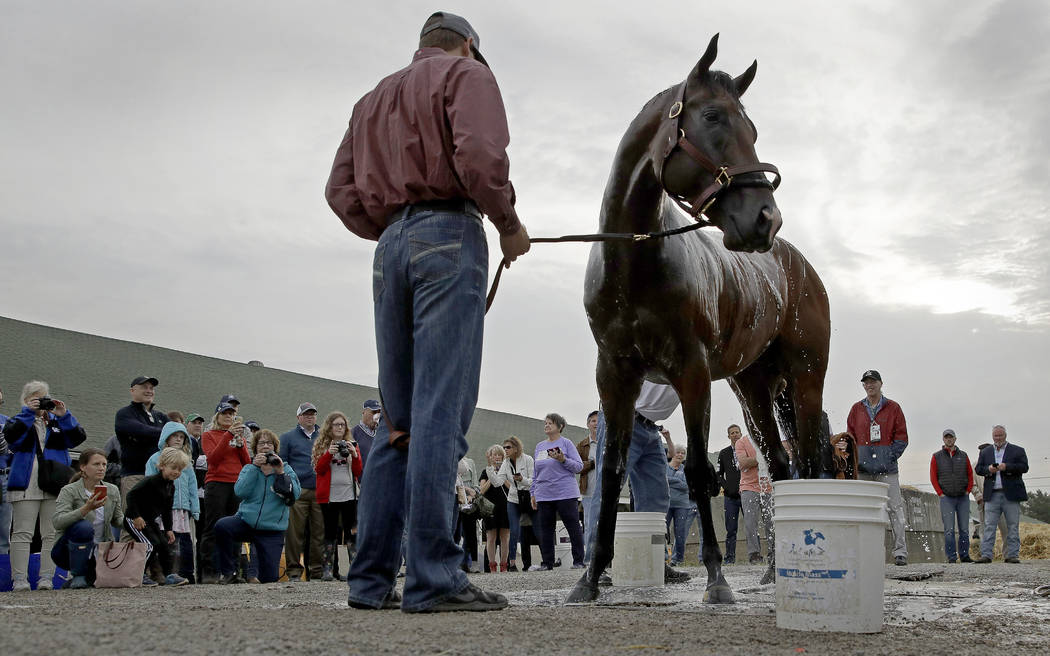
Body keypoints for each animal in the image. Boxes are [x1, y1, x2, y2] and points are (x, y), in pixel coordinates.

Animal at [571, 33, 831, 600]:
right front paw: (591, 576)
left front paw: (716, 577)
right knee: (781, 467)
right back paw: (774, 572)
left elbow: (695, 470)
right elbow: (612, 472)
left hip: (806, 379)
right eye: (713, 117)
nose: (766, 219)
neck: (635, 263)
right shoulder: (614, 375)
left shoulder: (691, 372)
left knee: (808, 463)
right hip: (753, 391)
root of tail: (797, 264)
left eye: (752, 129)